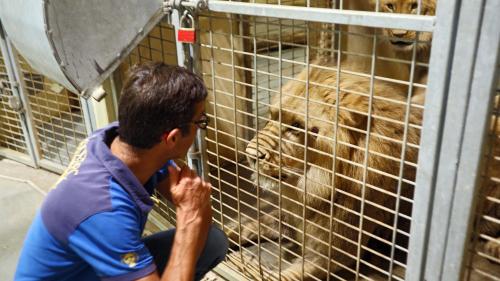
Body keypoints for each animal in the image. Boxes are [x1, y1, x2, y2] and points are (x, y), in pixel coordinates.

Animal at [227, 58, 422, 278]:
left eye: (296, 126)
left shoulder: (333, 254)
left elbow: (285, 276)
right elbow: (249, 225)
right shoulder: (290, 216)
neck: (316, 185)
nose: (250, 155)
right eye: (272, 117)